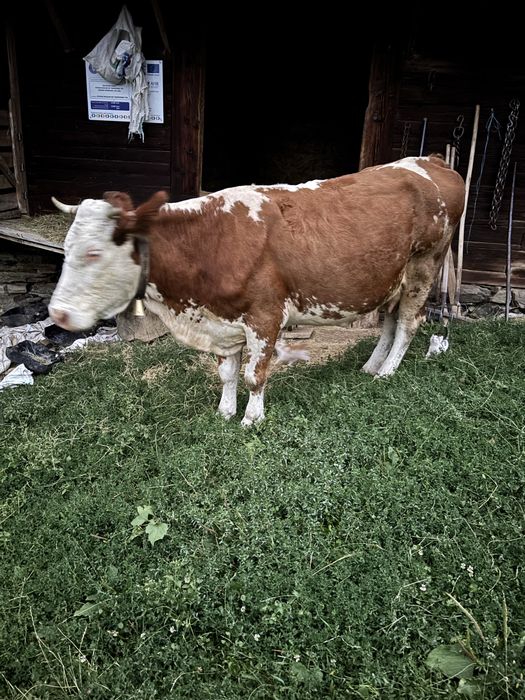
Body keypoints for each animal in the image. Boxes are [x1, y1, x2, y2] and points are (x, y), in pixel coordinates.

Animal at [49, 155, 465, 426]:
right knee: (391, 322)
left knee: (409, 323)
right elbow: (227, 373)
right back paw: (371, 365)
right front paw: (225, 411)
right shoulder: (221, 321)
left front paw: (252, 417)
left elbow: (254, 374)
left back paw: (387, 372)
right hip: (393, 278)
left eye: (94, 253)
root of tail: (431, 161)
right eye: (67, 248)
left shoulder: (265, 317)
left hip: (424, 267)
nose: (57, 313)